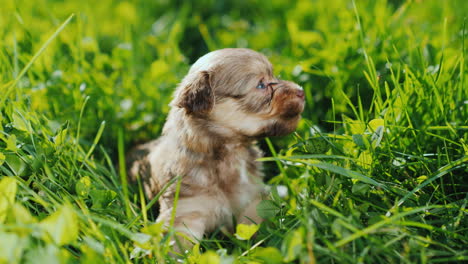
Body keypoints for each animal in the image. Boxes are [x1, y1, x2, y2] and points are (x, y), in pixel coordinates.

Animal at [126, 48, 306, 250]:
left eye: (274, 77)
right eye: (261, 85)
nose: (301, 91)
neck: (229, 154)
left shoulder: (250, 202)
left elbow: (252, 229)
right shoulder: (185, 213)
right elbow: (180, 247)